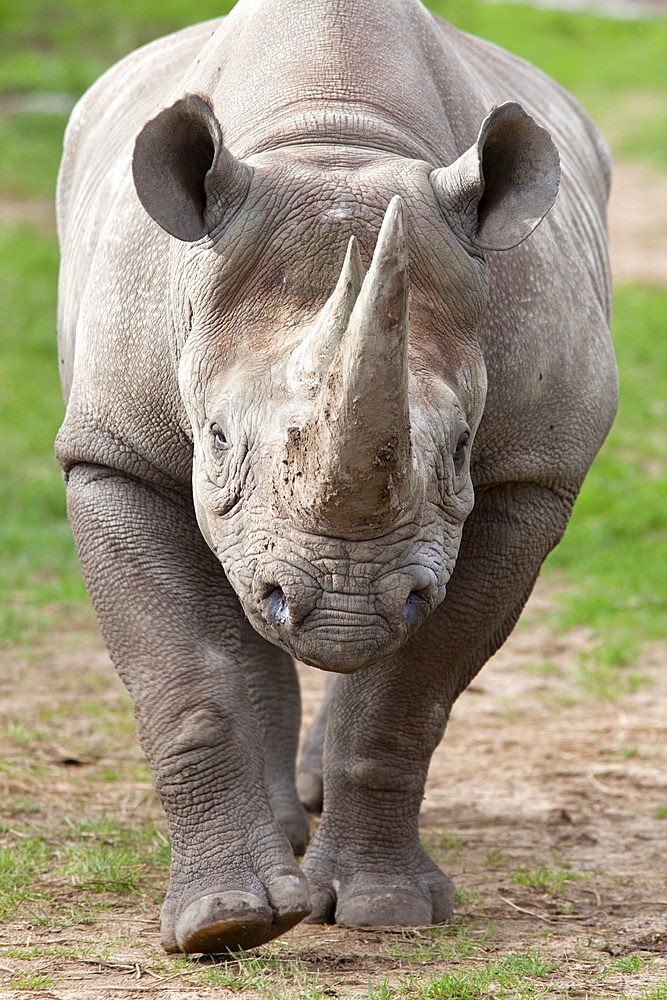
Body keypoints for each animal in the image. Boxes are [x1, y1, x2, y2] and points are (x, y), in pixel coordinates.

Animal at [54, 0, 620, 956]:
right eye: (215, 439)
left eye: (460, 448)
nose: (343, 605)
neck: (333, 142)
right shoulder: (110, 452)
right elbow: (185, 678)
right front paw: (225, 923)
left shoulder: (529, 477)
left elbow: (408, 691)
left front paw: (379, 909)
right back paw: (280, 840)